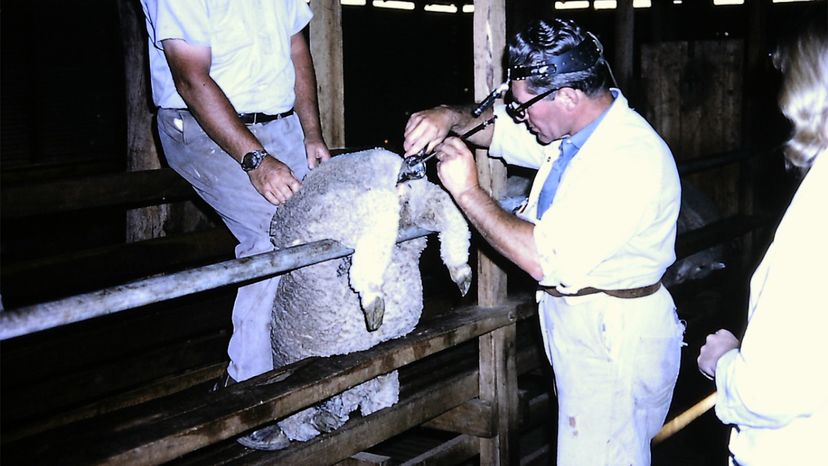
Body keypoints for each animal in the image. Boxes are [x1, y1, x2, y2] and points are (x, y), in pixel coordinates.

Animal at [266, 147, 472, 446]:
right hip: (391, 205)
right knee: (438, 206)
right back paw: (459, 269)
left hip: (338, 212)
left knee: (381, 212)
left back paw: (373, 299)